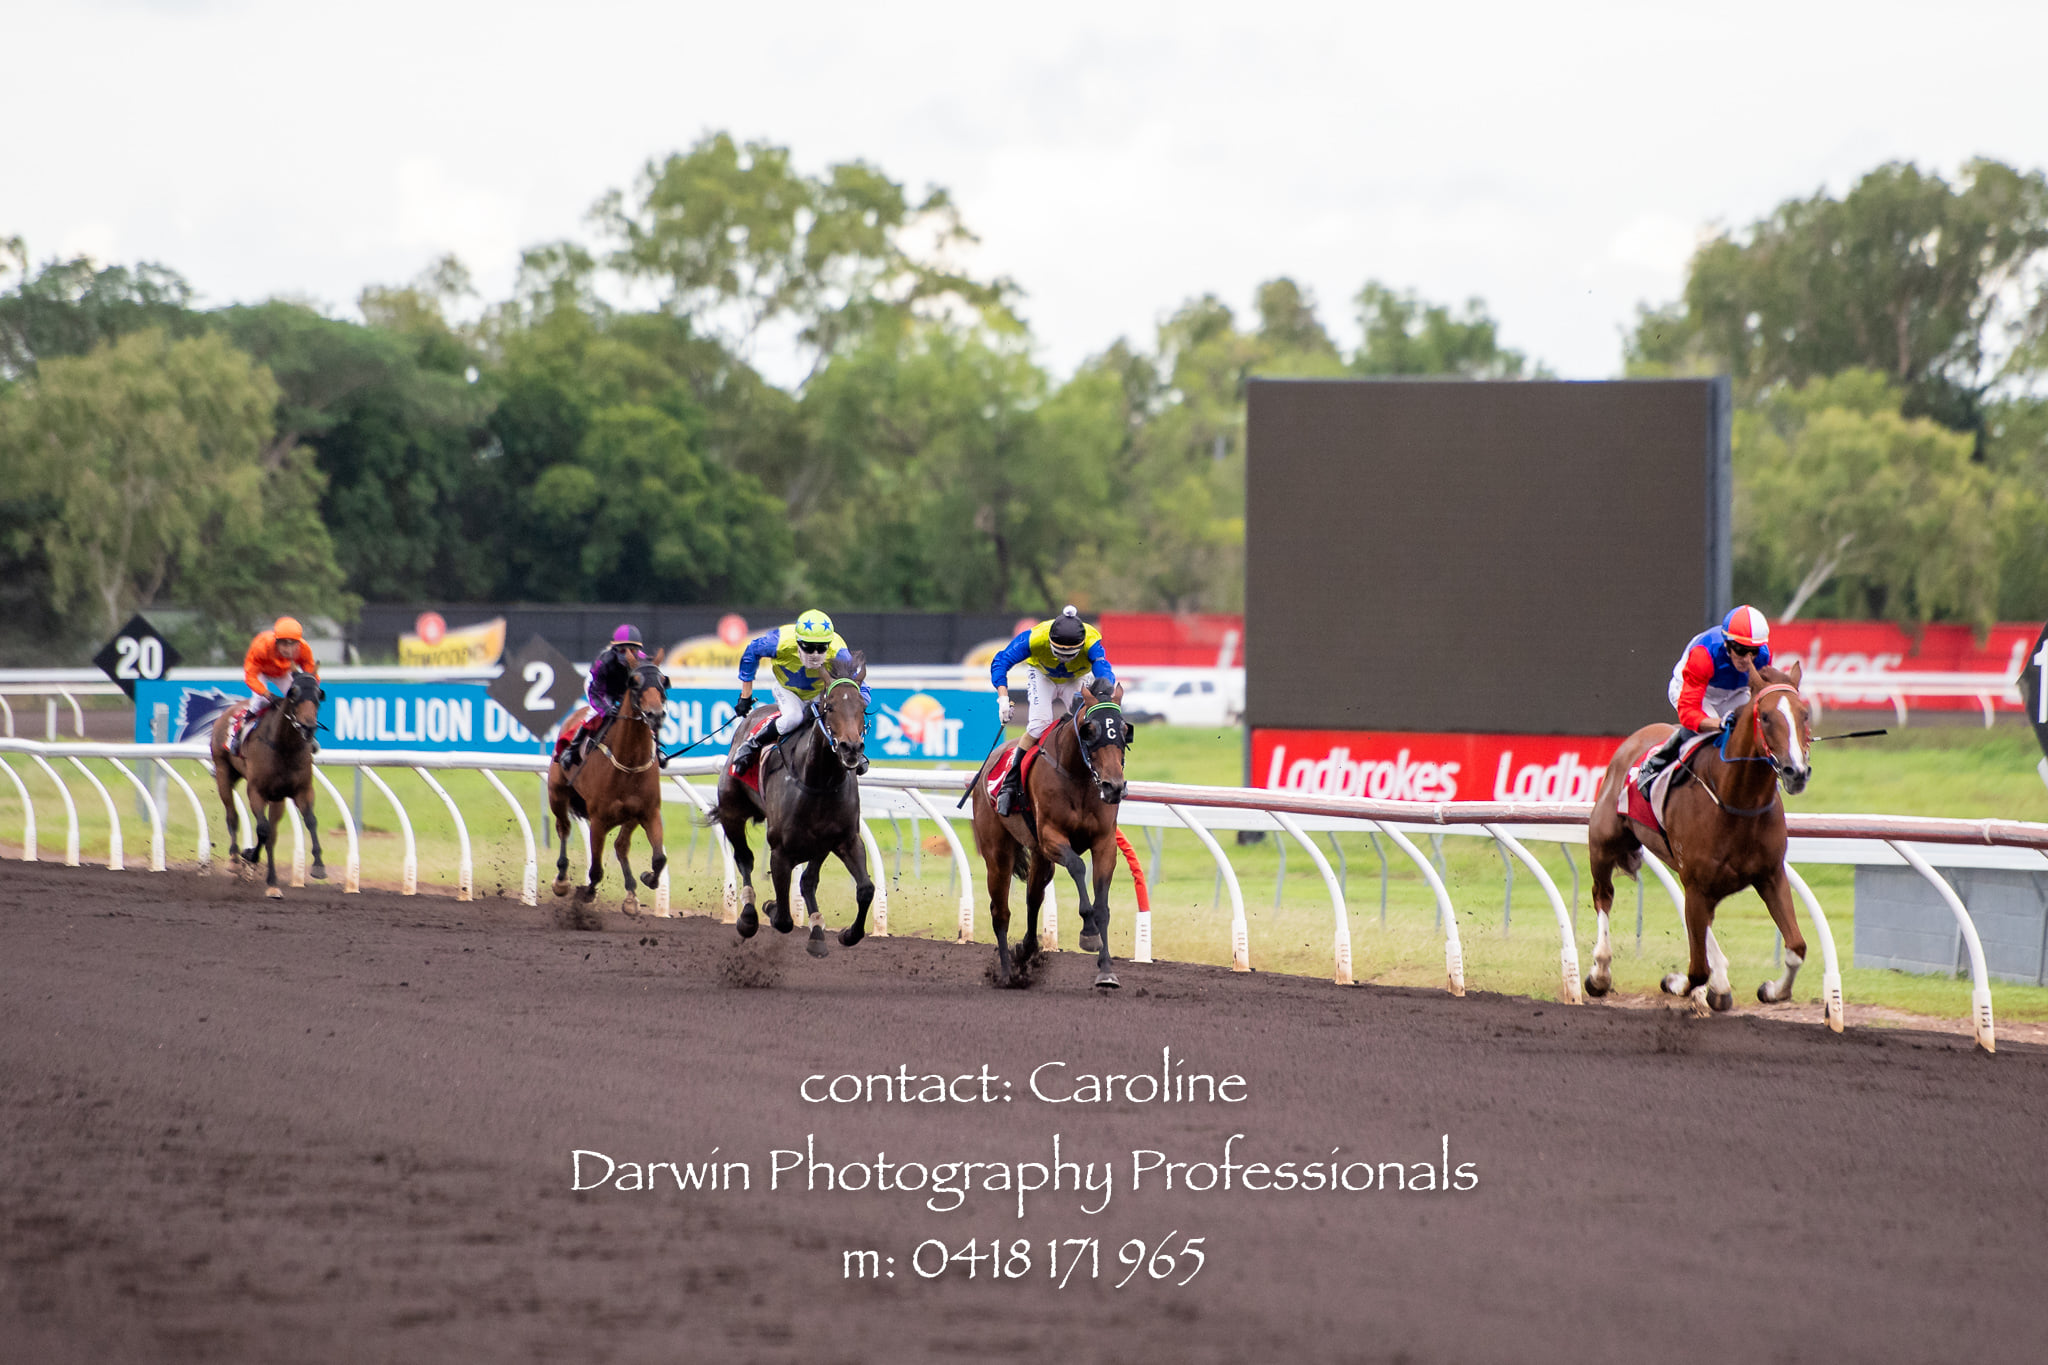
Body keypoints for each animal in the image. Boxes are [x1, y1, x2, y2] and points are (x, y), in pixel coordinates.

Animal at [209, 671, 326, 898]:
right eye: (293, 695)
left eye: (319, 696)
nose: (308, 728)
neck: (285, 747)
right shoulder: (256, 791)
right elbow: (262, 830)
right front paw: (249, 855)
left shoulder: (302, 790)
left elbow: (311, 821)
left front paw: (318, 865)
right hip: (223, 772)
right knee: (232, 815)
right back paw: (234, 859)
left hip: (277, 798)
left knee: (272, 835)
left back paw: (272, 882)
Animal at [547, 660, 669, 917]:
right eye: (635, 683)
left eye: (663, 681)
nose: (655, 715)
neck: (629, 763)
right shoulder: (599, 820)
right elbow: (595, 869)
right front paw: (586, 893)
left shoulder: (649, 812)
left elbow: (659, 859)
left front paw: (647, 878)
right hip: (557, 794)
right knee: (563, 828)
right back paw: (561, 880)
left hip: (630, 816)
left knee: (621, 846)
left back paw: (631, 894)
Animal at [707, 653, 874, 958]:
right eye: (829, 706)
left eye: (863, 706)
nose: (851, 748)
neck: (819, 782)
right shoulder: (781, 851)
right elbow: (783, 918)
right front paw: (770, 907)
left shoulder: (845, 839)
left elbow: (865, 888)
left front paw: (847, 934)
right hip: (731, 812)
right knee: (744, 859)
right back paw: (748, 917)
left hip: (819, 844)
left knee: (808, 880)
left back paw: (817, 932)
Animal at [969, 676, 1132, 989]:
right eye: (1090, 731)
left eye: (1123, 730)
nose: (1113, 787)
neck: (1079, 776)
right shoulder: (1050, 837)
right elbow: (1078, 867)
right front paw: (1088, 932)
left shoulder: (1104, 842)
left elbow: (1102, 906)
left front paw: (1106, 970)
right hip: (998, 852)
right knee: (1000, 911)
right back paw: (1007, 973)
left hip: (1039, 856)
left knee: (1034, 897)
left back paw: (1027, 950)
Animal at [1586, 661, 1814, 1015]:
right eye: (1765, 716)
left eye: (1804, 714)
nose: (1796, 772)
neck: (1738, 802)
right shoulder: (1697, 883)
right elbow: (1696, 971)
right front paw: (1677, 982)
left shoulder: (1770, 875)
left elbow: (1796, 947)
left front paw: (1772, 989)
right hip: (1603, 844)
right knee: (1603, 896)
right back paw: (1600, 973)